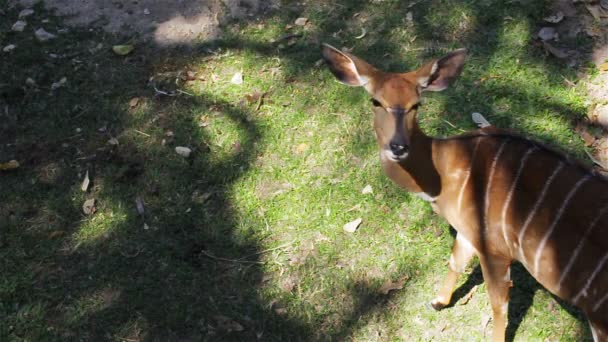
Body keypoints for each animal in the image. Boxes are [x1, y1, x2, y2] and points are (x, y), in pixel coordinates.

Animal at [320, 44, 608, 340]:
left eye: (416, 104)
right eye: (376, 101)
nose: (398, 146)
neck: (444, 171)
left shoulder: (494, 249)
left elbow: (498, 304)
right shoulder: (467, 231)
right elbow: (455, 262)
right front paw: (438, 301)